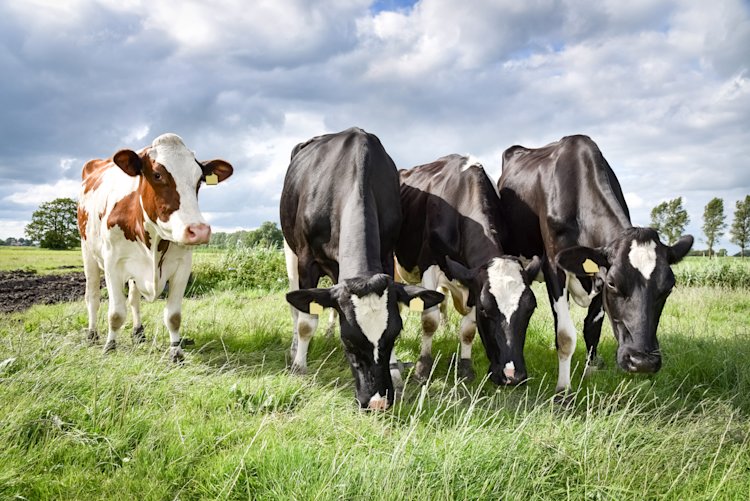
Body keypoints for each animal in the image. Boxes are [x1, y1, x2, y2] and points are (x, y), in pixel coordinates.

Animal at [77, 133, 233, 362]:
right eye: (157, 175)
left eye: (199, 180)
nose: (199, 230)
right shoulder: (112, 263)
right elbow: (116, 313)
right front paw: (110, 347)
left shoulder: (183, 265)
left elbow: (173, 316)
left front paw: (176, 352)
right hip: (87, 252)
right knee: (93, 297)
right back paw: (92, 334)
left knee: (134, 299)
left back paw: (138, 332)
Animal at [280, 127, 443, 410]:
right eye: (349, 341)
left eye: (395, 334)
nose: (378, 402)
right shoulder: (306, 259)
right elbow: (307, 321)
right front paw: (300, 367)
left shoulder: (387, 253)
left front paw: (396, 373)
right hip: (290, 251)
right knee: (295, 307)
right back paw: (294, 348)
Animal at [395, 155, 541, 386]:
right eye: (485, 310)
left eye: (531, 309)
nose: (512, 376)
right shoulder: (429, 263)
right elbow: (429, 320)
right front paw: (422, 367)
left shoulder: (473, 282)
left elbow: (468, 330)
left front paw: (465, 367)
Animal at [497, 134, 693, 394]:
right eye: (613, 283)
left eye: (669, 287)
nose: (642, 362)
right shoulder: (554, 267)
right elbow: (565, 336)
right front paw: (563, 390)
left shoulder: (599, 274)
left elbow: (592, 328)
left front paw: (589, 372)